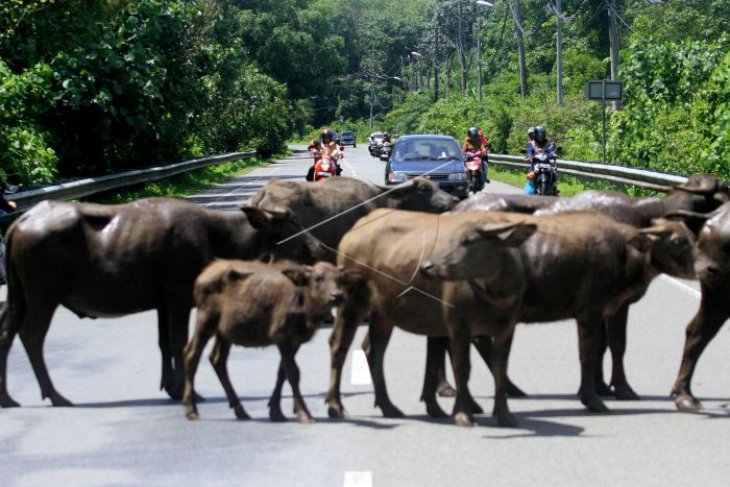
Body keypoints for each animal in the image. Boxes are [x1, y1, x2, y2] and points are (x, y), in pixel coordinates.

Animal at [0, 197, 324, 408]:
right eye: (293, 221)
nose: (316, 247)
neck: (218, 235)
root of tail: (22, 221)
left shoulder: (162, 302)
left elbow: (164, 342)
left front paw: (170, 386)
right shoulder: (178, 298)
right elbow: (179, 340)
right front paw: (185, 389)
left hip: (19, 298)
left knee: (6, 333)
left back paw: (8, 398)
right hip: (43, 297)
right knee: (31, 335)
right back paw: (55, 395)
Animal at [416, 212, 692, 426]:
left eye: (689, 237)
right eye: (677, 241)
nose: (699, 265)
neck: (624, 251)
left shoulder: (601, 311)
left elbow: (601, 348)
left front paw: (601, 388)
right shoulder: (595, 310)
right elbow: (599, 349)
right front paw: (605, 395)